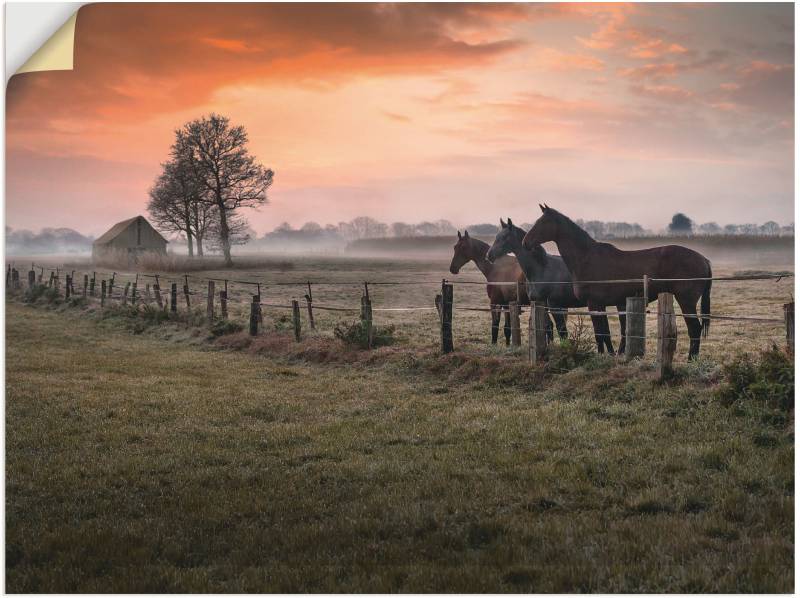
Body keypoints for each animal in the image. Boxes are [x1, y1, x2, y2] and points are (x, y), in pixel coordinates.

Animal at [484, 219, 616, 352]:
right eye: (497, 236)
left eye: (505, 237)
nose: (489, 255)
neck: (542, 268)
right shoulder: (542, 304)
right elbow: (547, 327)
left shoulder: (555, 306)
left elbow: (562, 331)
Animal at [524, 205, 712, 360]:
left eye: (542, 222)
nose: (525, 242)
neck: (586, 258)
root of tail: (703, 259)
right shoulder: (602, 305)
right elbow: (605, 332)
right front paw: (610, 354)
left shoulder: (594, 304)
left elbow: (600, 333)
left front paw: (601, 356)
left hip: (686, 301)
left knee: (694, 328)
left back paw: (691, 360)